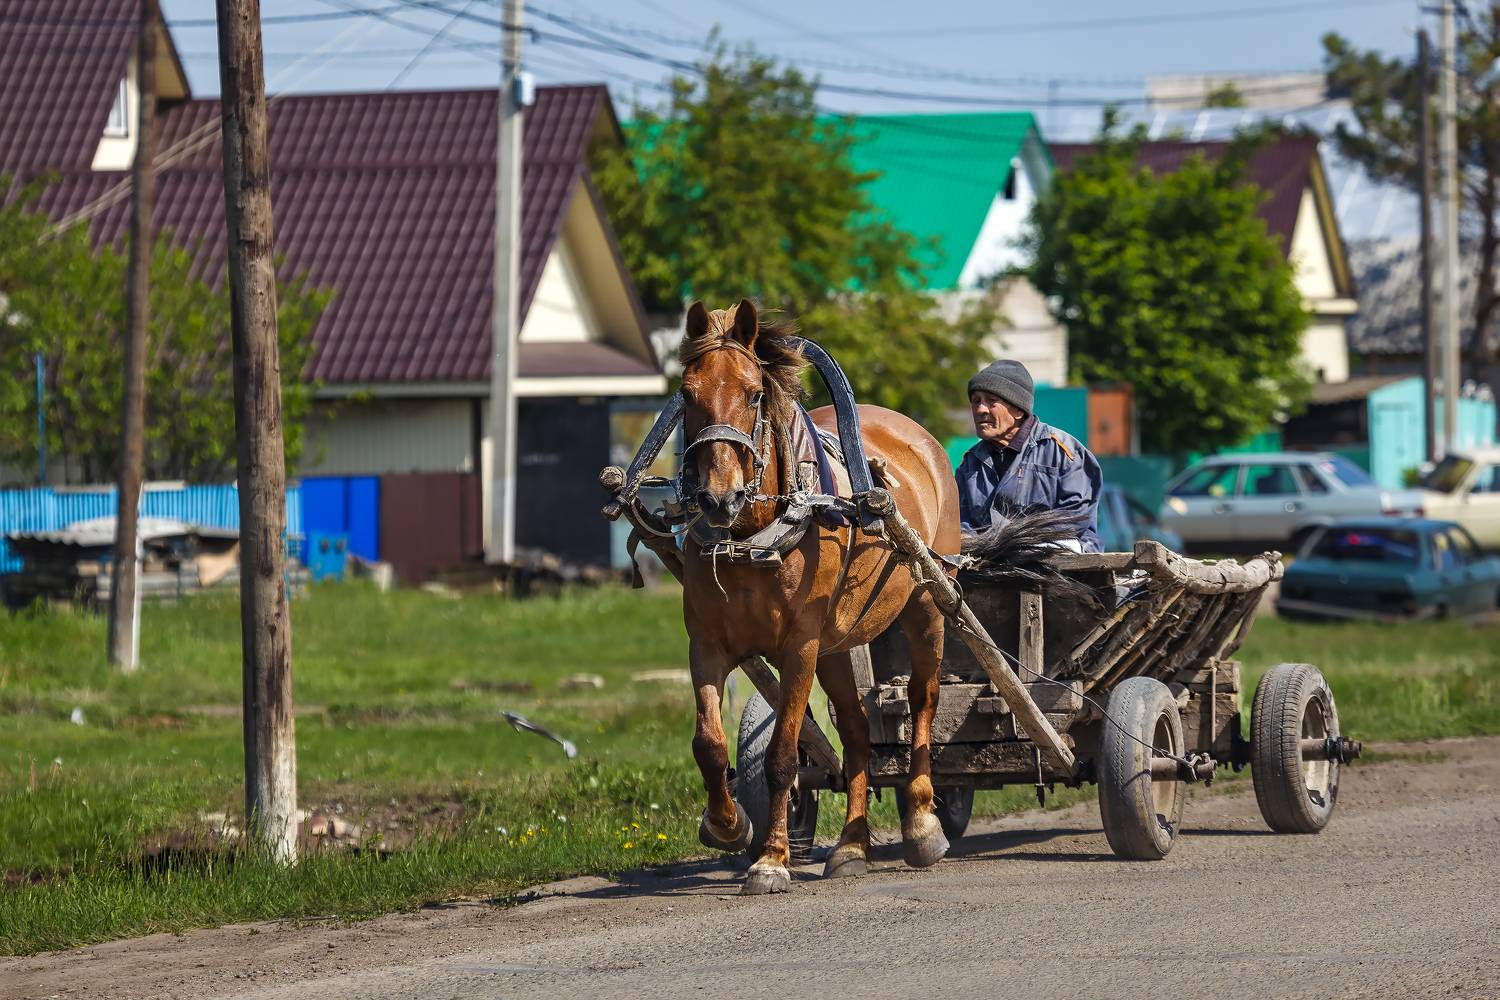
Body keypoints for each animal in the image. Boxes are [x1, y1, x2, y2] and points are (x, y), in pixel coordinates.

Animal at [677, 298, 962, 895]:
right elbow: (709, 745)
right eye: (687, 393)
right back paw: (853, 844)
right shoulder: (706, 646)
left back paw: (923, 823)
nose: (718, 498)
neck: (753, 541)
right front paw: (727, 824)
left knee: (924, 699)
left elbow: (783, 755)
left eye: (753, 393)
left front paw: (771, 860)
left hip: (927, 601)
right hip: (838, 643)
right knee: (856, 728)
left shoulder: (800, 648)